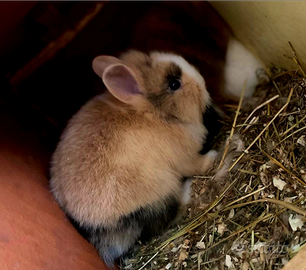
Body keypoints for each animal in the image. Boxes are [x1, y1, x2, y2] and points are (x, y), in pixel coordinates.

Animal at [49, 50, 218, 268]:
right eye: (174, 84)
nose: (203, 83)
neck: (155, 114)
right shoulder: (185, 159)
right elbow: (197, 165)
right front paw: (213, 157)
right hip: (162, 188)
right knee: (168, 214)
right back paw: (187, 190)